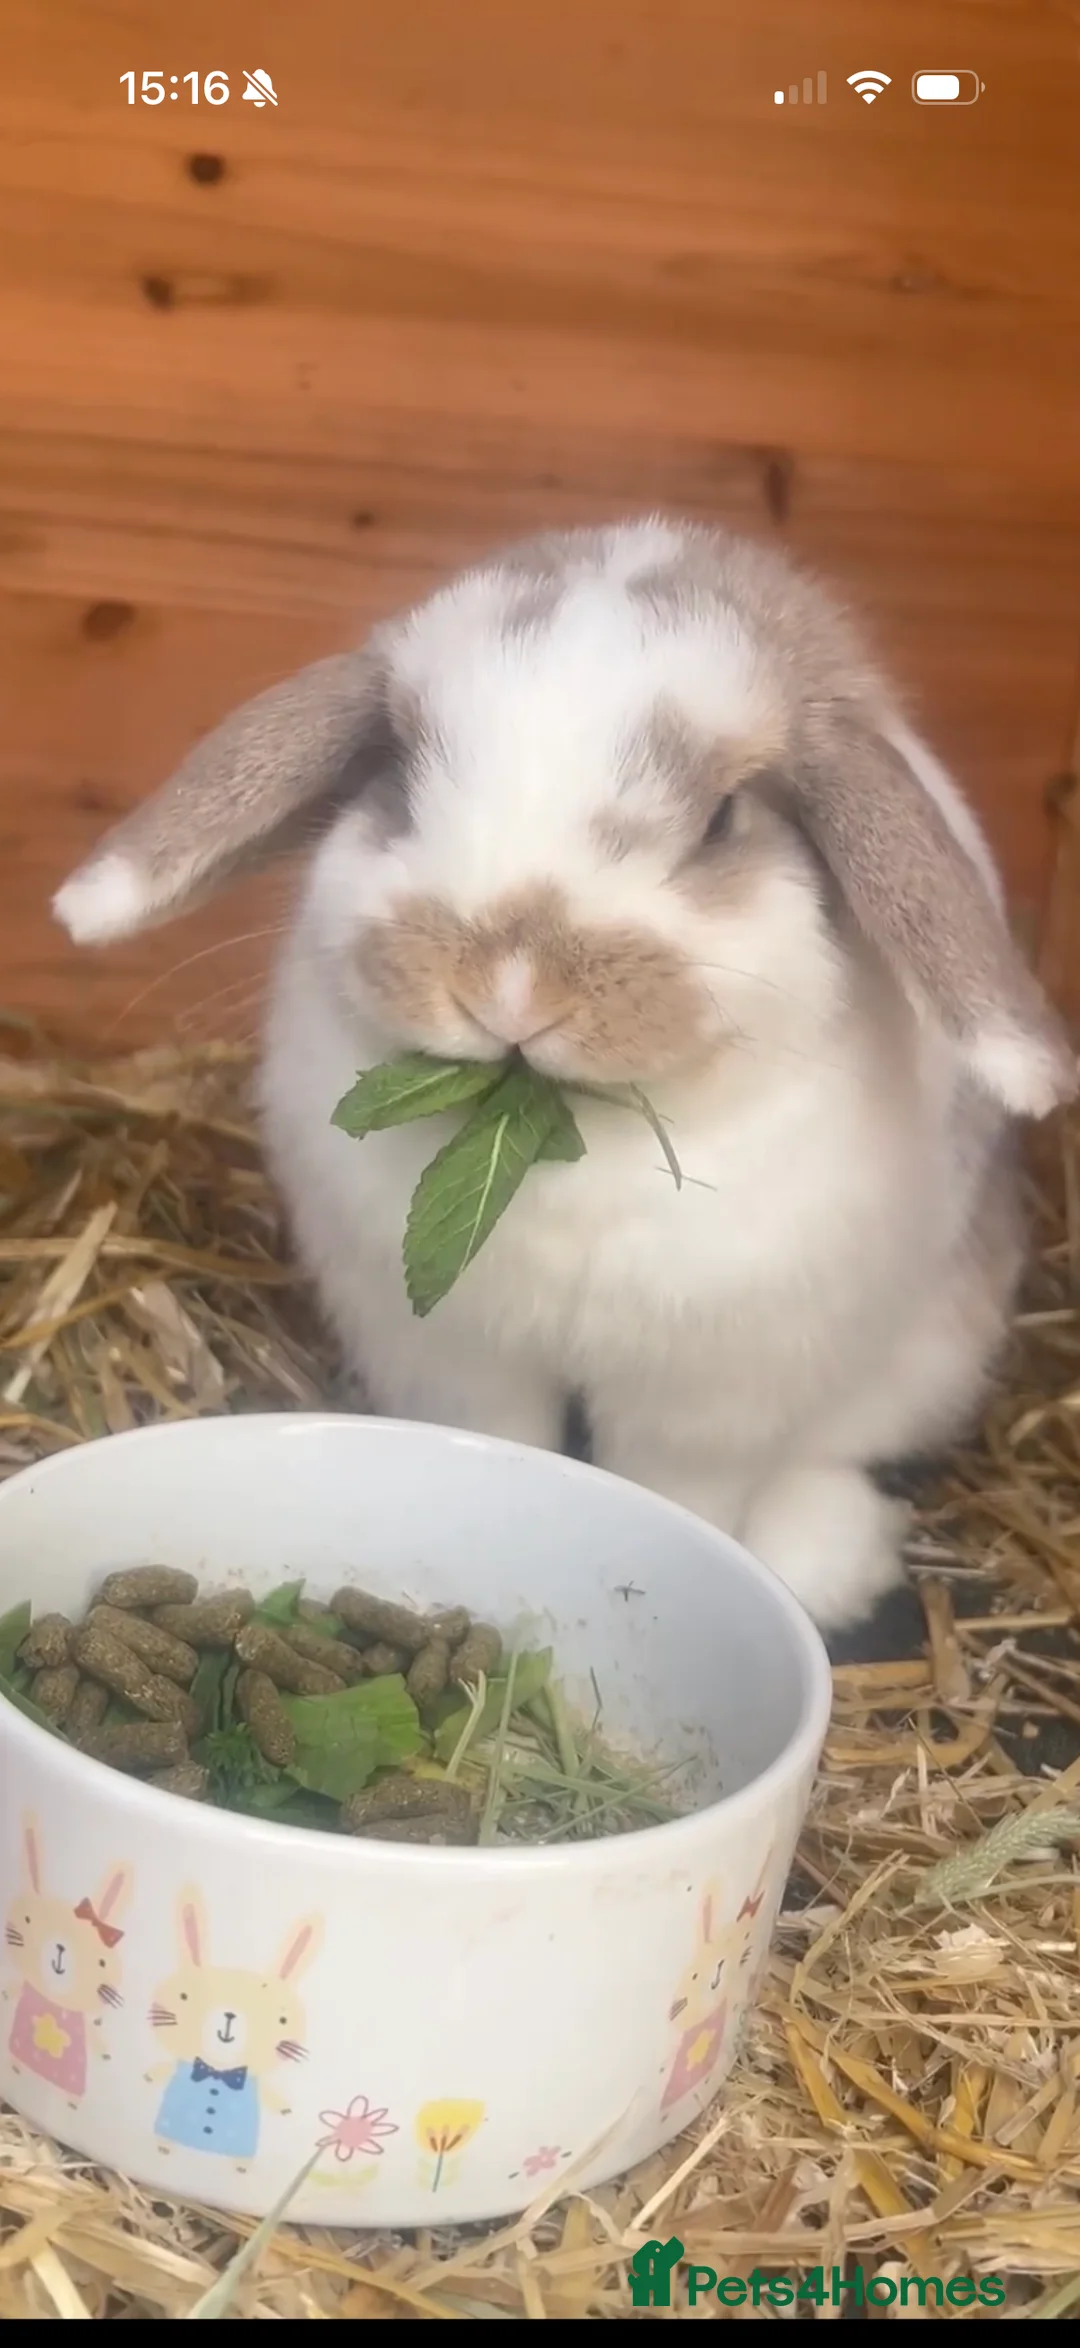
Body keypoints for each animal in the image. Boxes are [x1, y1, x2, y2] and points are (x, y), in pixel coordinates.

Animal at [52, 518, 1078, 1632]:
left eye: (723, 818)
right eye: (399, 777)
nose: (508, 981)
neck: (568, 1145)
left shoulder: (707, 1392)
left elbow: (683, 1491)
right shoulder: (447, 1352)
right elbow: (504, 1438)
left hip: (929, 1357)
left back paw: (823, 1557)